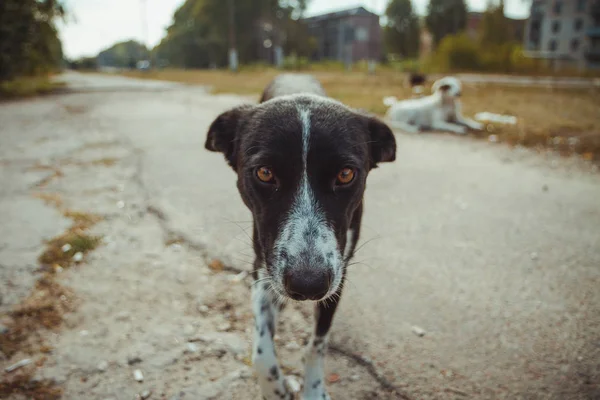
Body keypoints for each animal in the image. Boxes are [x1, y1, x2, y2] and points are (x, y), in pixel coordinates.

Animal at [204, 73, 396, 398]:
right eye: (264, 173)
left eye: (346, 174)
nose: (308, 285)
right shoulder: (263, 266)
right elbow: (261, 352)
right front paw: (275, 389)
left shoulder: (339, 274)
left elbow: (317, 345)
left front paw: (313, 389)